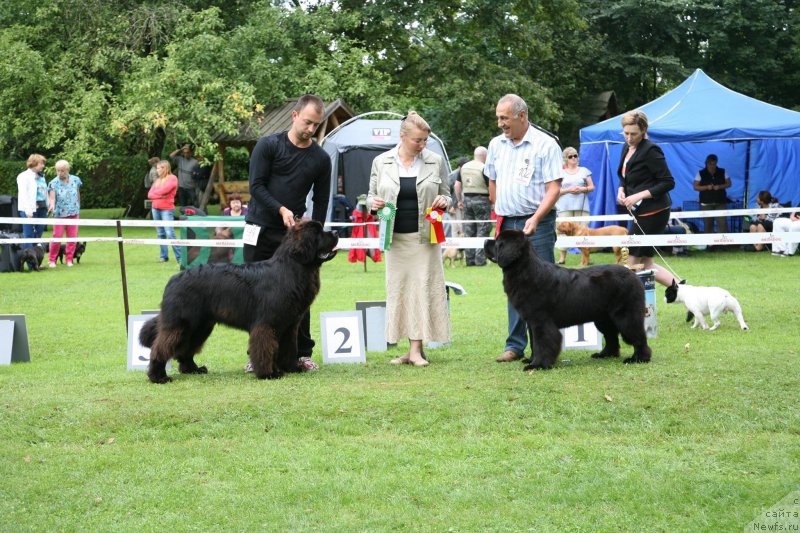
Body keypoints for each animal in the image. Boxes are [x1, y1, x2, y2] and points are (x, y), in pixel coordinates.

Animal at [140, 220, 338, 382]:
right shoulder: (266, 324)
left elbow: (289, 348)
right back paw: (158, 376)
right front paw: (269, 373)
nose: (336, 232)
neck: (291, 268)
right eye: (317, 232)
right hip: (181, 323)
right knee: (161, 347)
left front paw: (293, 368)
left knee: (186, 348)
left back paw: (193, 369)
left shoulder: (290, 326)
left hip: (201, 325)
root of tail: (174, 279)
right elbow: (265, 349)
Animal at [484, 229, 652, 370]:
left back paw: (639, 358)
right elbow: (534, 343)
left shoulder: (541, 321)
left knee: (637, 335)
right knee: (611, 336)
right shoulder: (532, 322)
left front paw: (537, 365)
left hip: (625, 315)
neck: (524, 270)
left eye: (497, 242)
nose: (485, 240)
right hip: (603, 318)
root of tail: (633, 274)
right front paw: (531, 360)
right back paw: (604, 354)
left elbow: (542, 343)